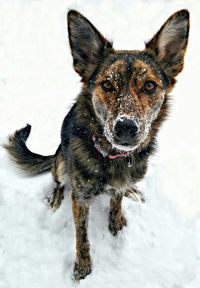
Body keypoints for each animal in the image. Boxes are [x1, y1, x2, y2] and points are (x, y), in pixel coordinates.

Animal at [4, 9, 189, 282]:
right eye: (107, 85)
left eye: (149, 86)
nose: (126, 127)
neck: (114, 158)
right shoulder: (80, 198)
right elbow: (82, 236)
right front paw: (82, 267)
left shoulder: (120, 182)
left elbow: (116, 200)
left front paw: (116, 220)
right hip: (61, 161)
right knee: (58, 180)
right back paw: (54, 200)